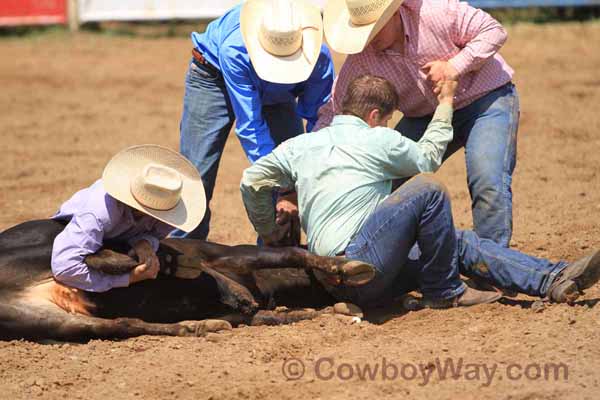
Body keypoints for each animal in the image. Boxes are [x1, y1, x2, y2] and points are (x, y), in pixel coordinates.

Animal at [0, 220, 376, 342]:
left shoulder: (249, 313)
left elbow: (280, 316)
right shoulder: (228, 255)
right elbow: (291, 254)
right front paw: (350, 267)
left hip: (53, 321)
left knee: (123, 324)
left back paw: (196, 325)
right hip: (43, 246)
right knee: (93, 256)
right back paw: (171, 264)